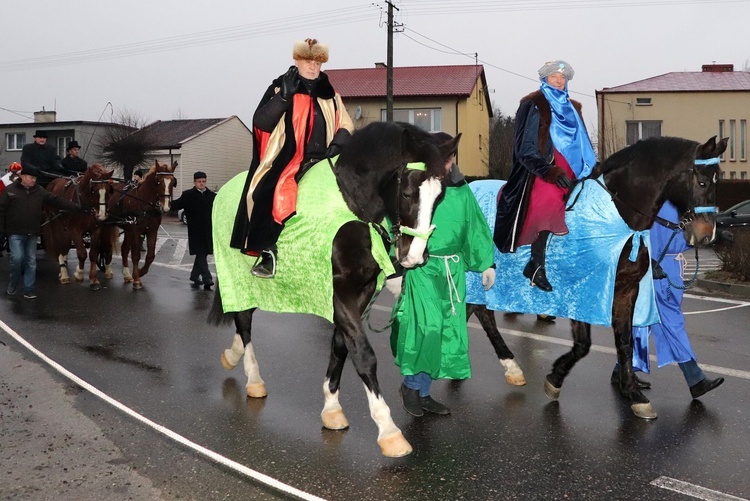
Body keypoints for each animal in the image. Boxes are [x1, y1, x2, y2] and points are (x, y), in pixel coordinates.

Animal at [107, 160, 178, 290]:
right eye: (158, 181)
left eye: (172, 182)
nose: (165, 207)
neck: (144, 203)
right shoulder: (136, 230)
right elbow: (136, 255)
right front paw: (137, 279)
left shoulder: (152, 231)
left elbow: (150, 256)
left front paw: (140, 272)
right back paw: (108, 271)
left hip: (127, 229)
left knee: (124, 249)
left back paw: (126, 274)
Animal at [209, 121, 462, 458]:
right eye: (407, 192)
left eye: (440, 197)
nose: (415, 257)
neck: (351, 207)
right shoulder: (337, 290)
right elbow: (363, 354)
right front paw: (388, 430)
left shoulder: (362, 289)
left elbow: (342, 346)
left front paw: (331, 408)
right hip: (237, 275)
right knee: (244, 321)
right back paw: (254, 379)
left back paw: (232, 355)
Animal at [470, 134, 728, 418]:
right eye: (702, 182)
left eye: (720, 180)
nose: (707, 235)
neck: (618, 217)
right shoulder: (583, 288)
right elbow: (583, 344)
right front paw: (555, 378)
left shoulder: (626, 289)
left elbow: (625, 342)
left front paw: (633, 393)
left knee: (478, 311)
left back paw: (505, 367)